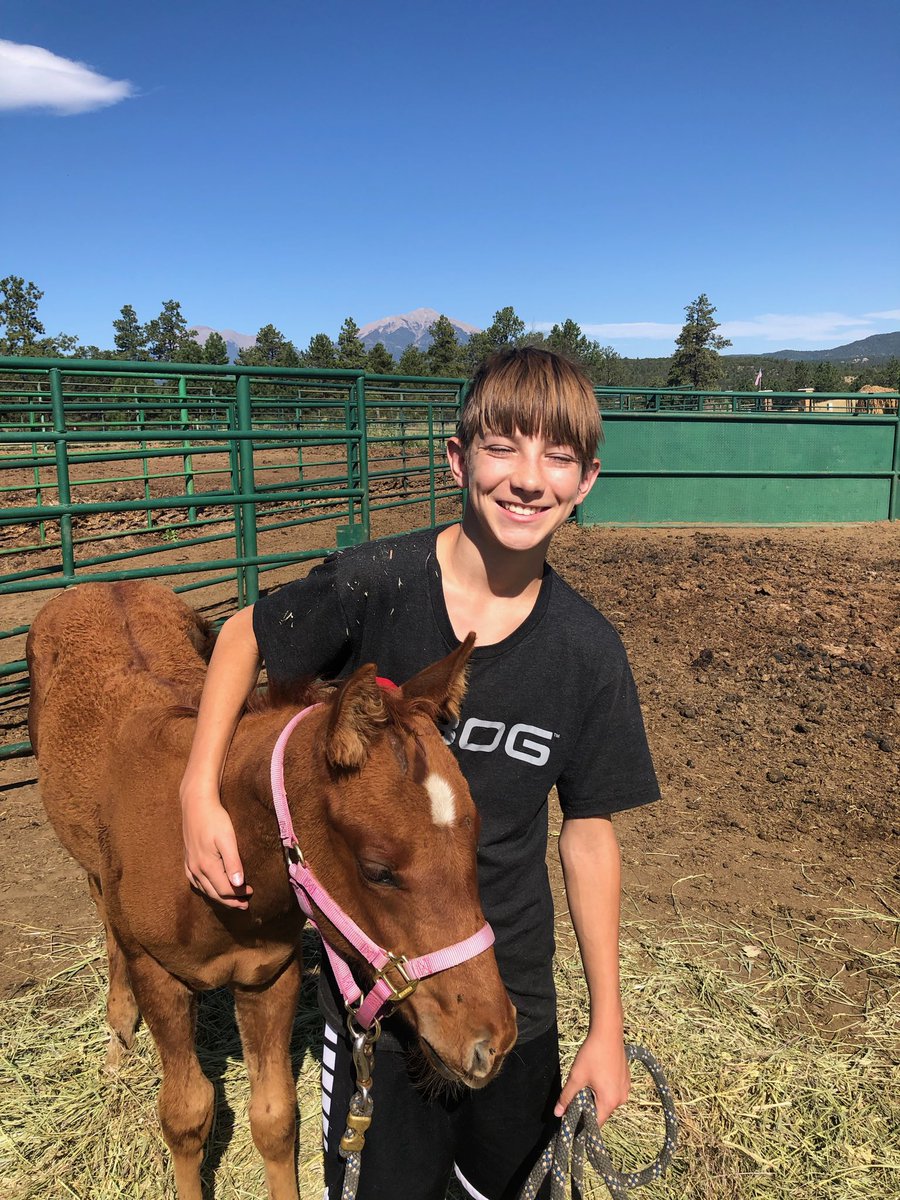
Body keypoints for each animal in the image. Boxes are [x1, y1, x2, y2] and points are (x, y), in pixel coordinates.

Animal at [26, 580, 517, 1200]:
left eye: (473, 839)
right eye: (377, 870)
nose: (491, 1041)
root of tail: (106, 582)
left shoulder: (268, 973)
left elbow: (275, 1117)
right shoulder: (161, 975)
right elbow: (186, 1113)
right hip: (95, 871)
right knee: (107, 919)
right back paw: (118, 1036)